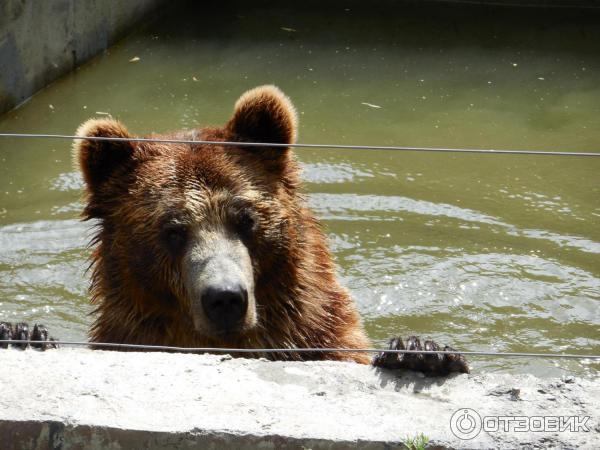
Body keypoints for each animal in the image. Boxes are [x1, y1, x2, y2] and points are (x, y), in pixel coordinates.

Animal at [1, 86, 468, 374]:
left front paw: (420, 353)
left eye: (245, 219)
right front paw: (21, 333)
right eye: (173, 230)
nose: (225, 297)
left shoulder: (326, 337)